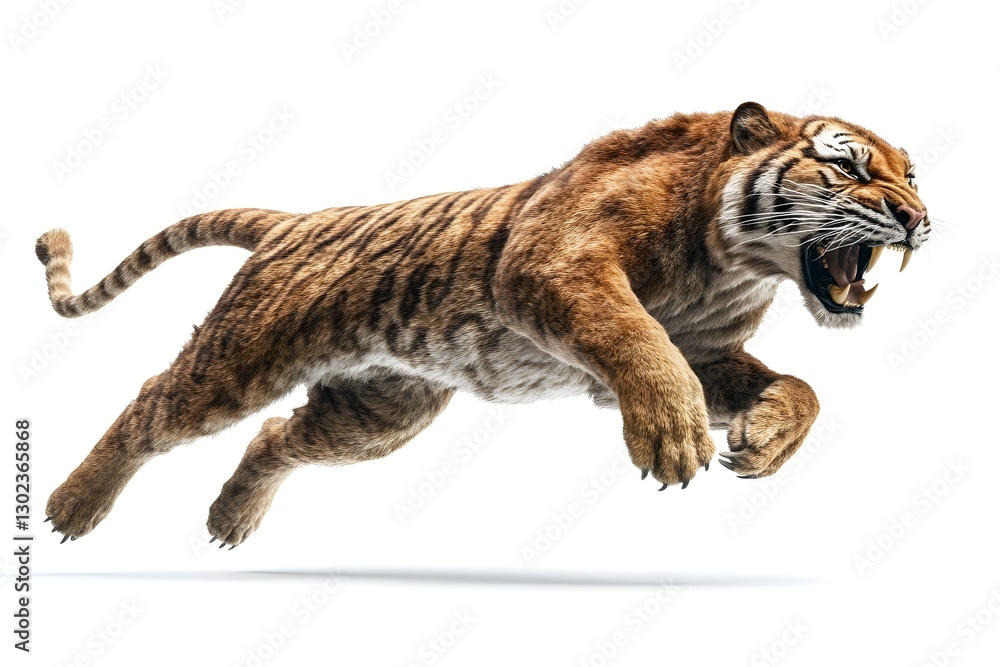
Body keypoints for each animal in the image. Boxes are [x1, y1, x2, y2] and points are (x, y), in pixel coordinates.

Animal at [37, 102, 929, 547]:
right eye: (848, 165)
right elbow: (634, 338)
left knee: (275, 436)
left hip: (378, 412)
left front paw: (764, 438)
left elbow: (803, 387)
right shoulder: (554, 266)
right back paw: (70, 509)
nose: (918, 218)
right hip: (243, 358)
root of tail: (294, 219)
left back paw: (230, 521)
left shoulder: (705, 353)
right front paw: (673, 439)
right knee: (152, 405)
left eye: (912, 175)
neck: (731, 265)